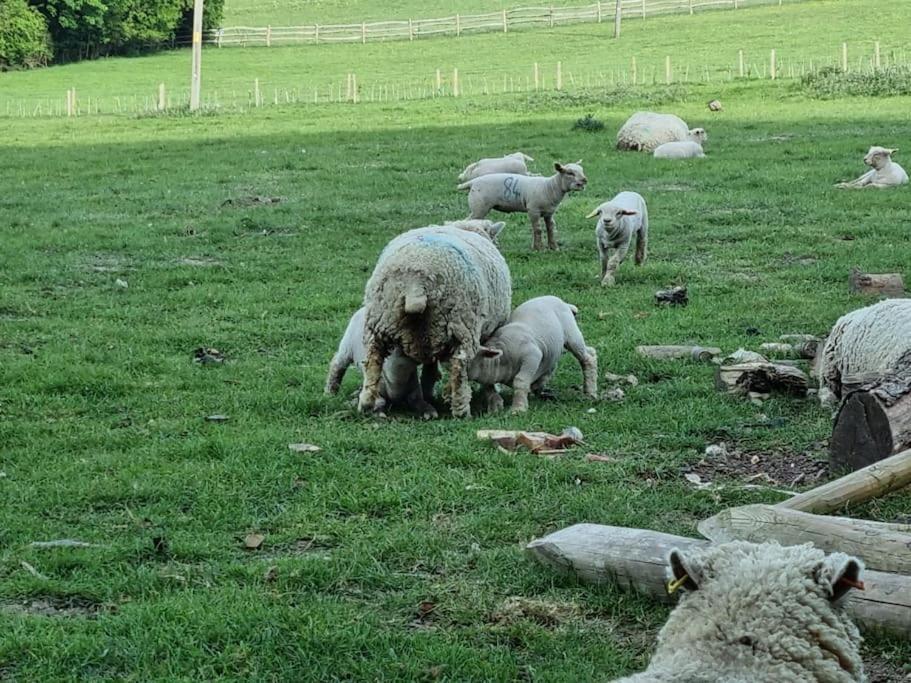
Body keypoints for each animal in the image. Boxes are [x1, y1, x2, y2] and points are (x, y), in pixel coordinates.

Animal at [358, 222, 512, 420]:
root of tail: (415, 282)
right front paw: (494, 397)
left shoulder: (430, 338)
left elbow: (430, 367)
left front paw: (428, 390)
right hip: (463, 324)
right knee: (459, 367)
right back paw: (461, 410)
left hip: (379, 321)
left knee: (372, 362)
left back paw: (366, 403)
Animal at [456, 161, 592, 251]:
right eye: (570, 173)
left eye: (582, 170)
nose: (585, 180)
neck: (550, 188)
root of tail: (472, 182)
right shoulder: (533, 210)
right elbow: (538, 229)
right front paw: (538, 248)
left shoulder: (549, 213)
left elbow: (550, 228)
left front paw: (553, 247)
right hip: (479, 207)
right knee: (468, 221)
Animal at [466, 294, 604, 412]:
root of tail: (563, 302)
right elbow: (488, 388)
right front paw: (494, 407)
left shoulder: (532, 356)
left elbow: (520, 381)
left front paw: (518, 408)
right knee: (587, 352)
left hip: (572, 334)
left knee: (587, 358)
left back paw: (590, 392)